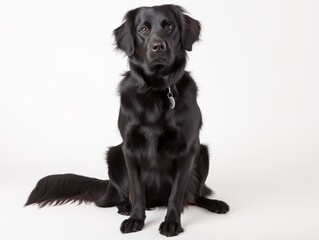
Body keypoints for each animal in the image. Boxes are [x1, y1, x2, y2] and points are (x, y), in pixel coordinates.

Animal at [25, 4, 230, 237]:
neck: (156, 89)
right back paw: (124, 206)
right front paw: (136, 219)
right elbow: (137, 190)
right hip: (114, 155)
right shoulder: (130, 148)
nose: (158, 46)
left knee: (194, 195)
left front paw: (171, 222)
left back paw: (214, 203)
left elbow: (177, 194)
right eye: (143, 29)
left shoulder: (188, 148)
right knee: (121, 195)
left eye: (169, 26)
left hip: (203, 152)